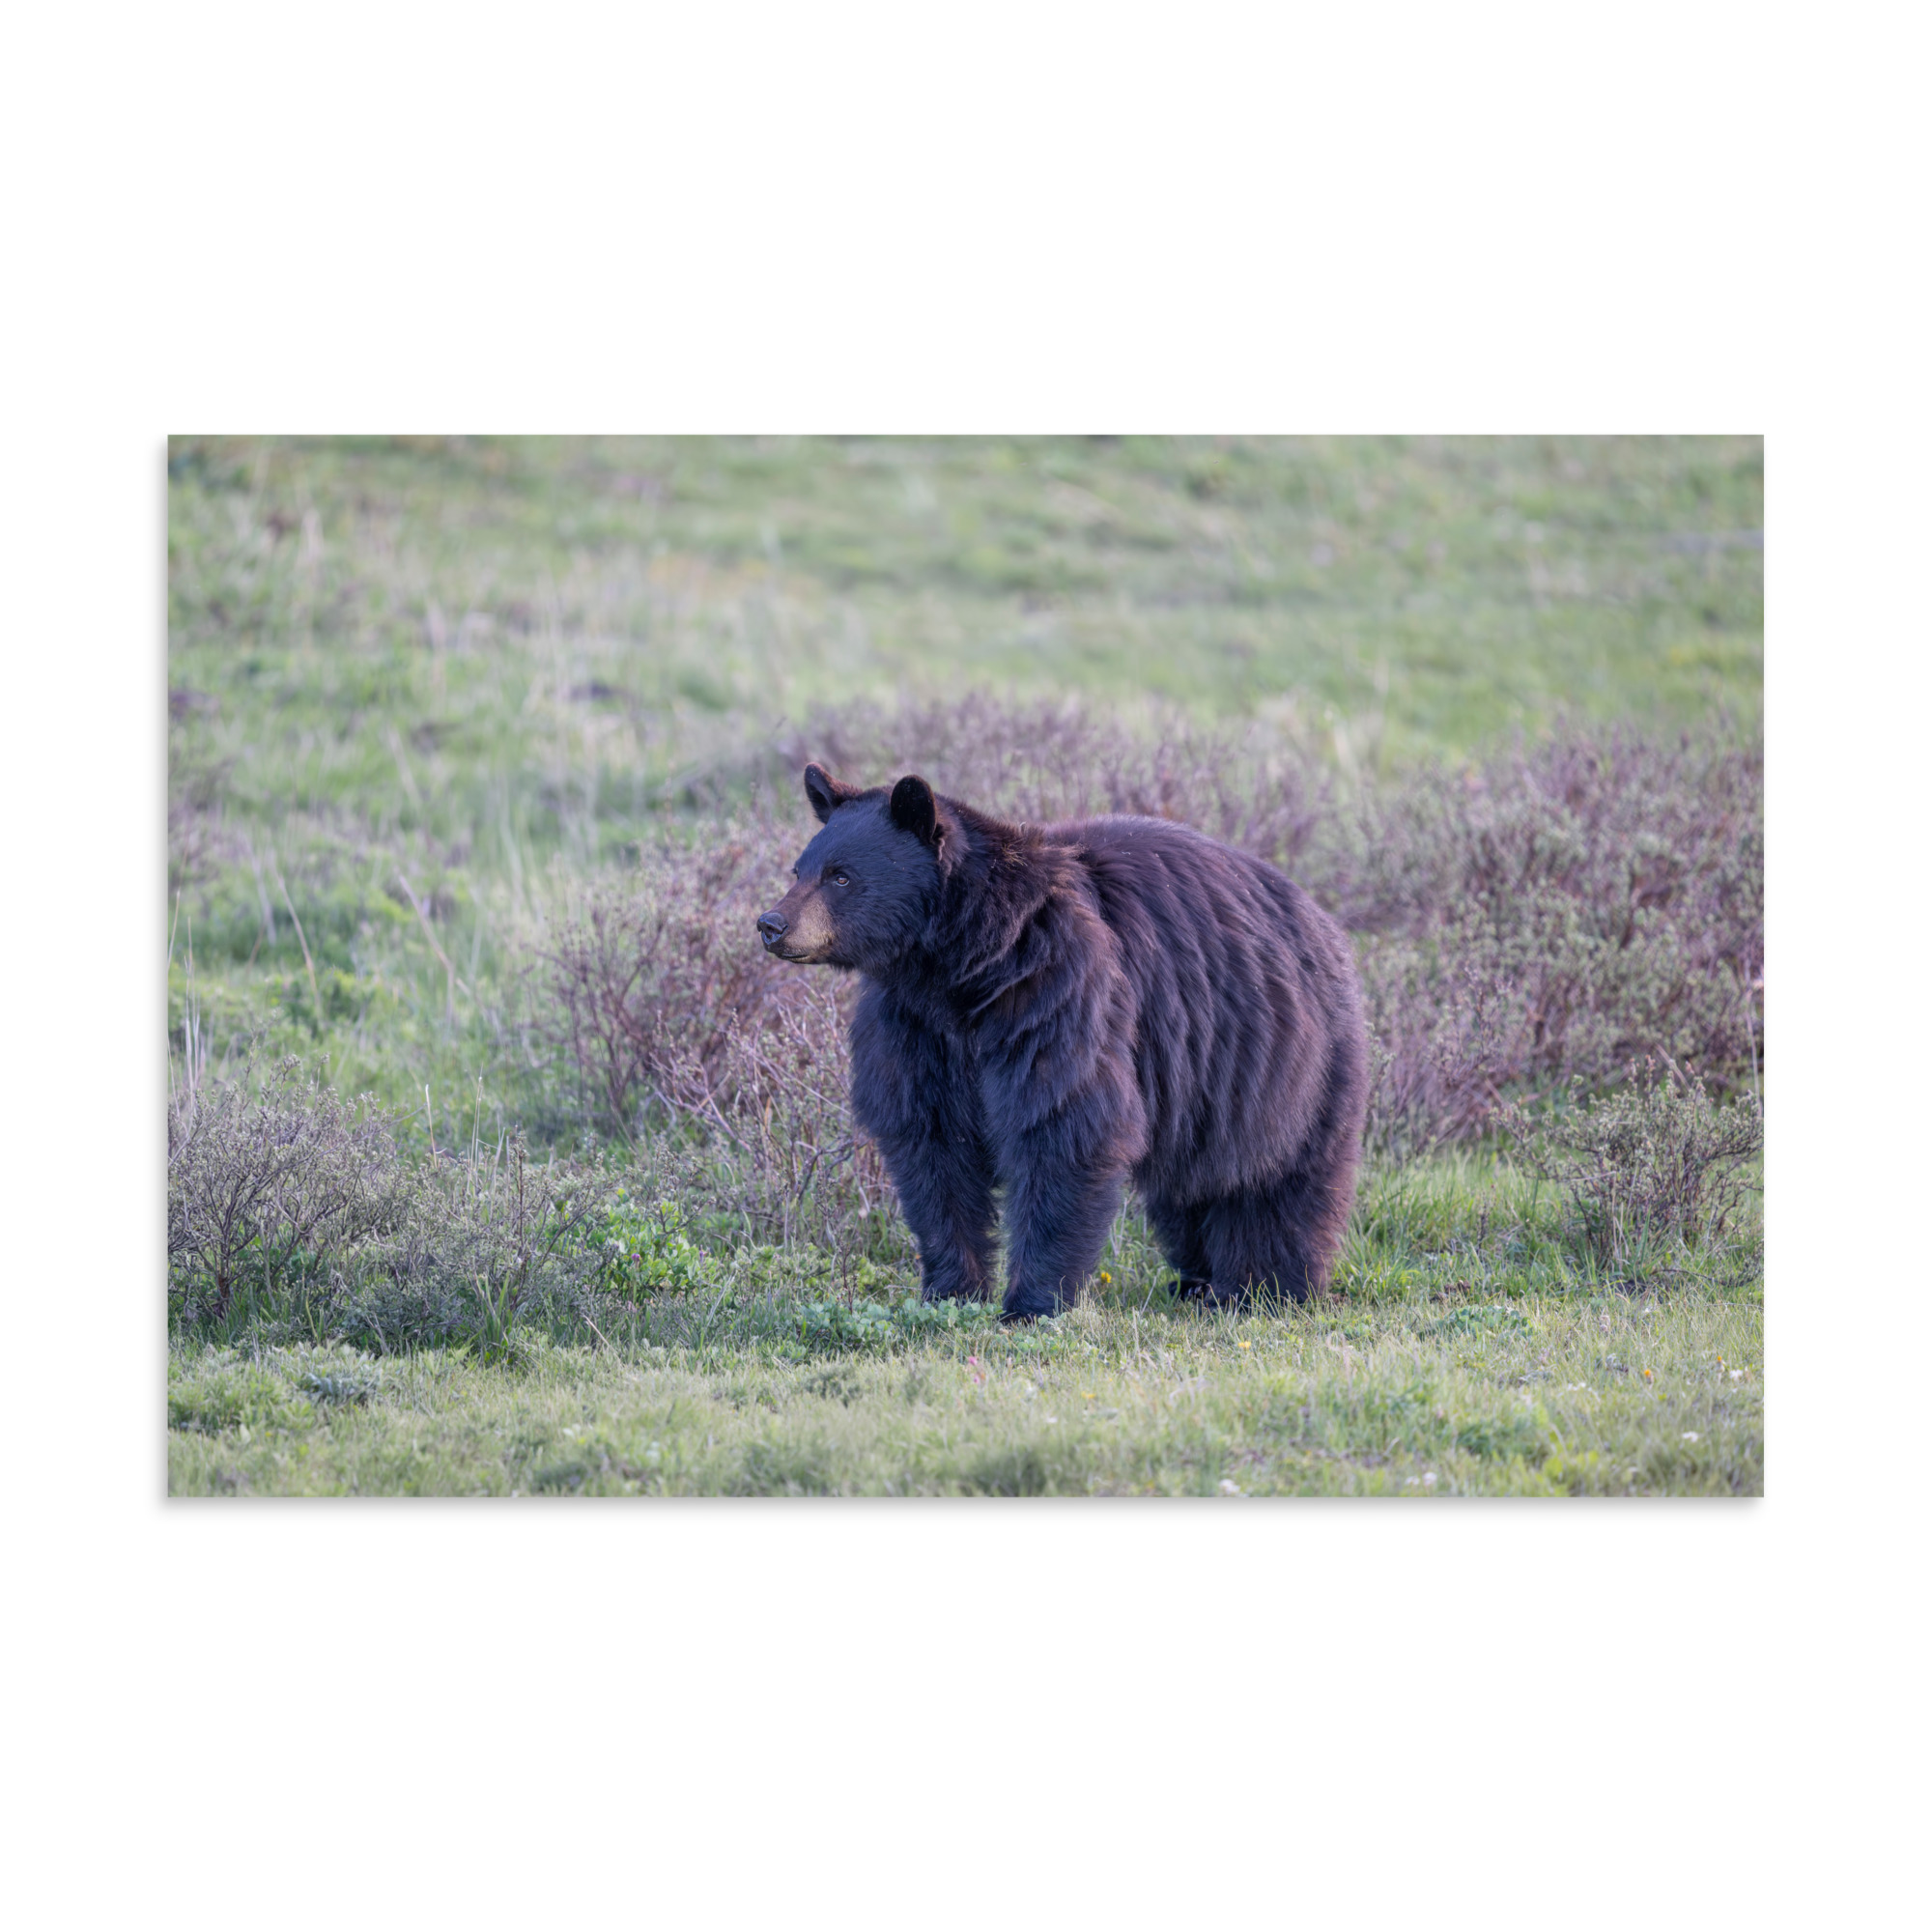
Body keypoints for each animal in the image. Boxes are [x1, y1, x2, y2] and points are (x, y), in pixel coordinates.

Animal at [756, 762, 1368, 1321]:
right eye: (799, 868)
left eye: (840, 876)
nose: (771, 923)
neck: (961, 966)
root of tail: (1321, 919)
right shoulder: (914, 1028)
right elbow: (931, 1145)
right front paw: (950, 1291)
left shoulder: (1056, 990)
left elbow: (1062, 1124)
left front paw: (1031, 1304)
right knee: (1191, 1187)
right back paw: (1197, 1281)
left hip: (1287, 1060)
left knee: (1279, 1180)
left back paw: (1264, 1288)